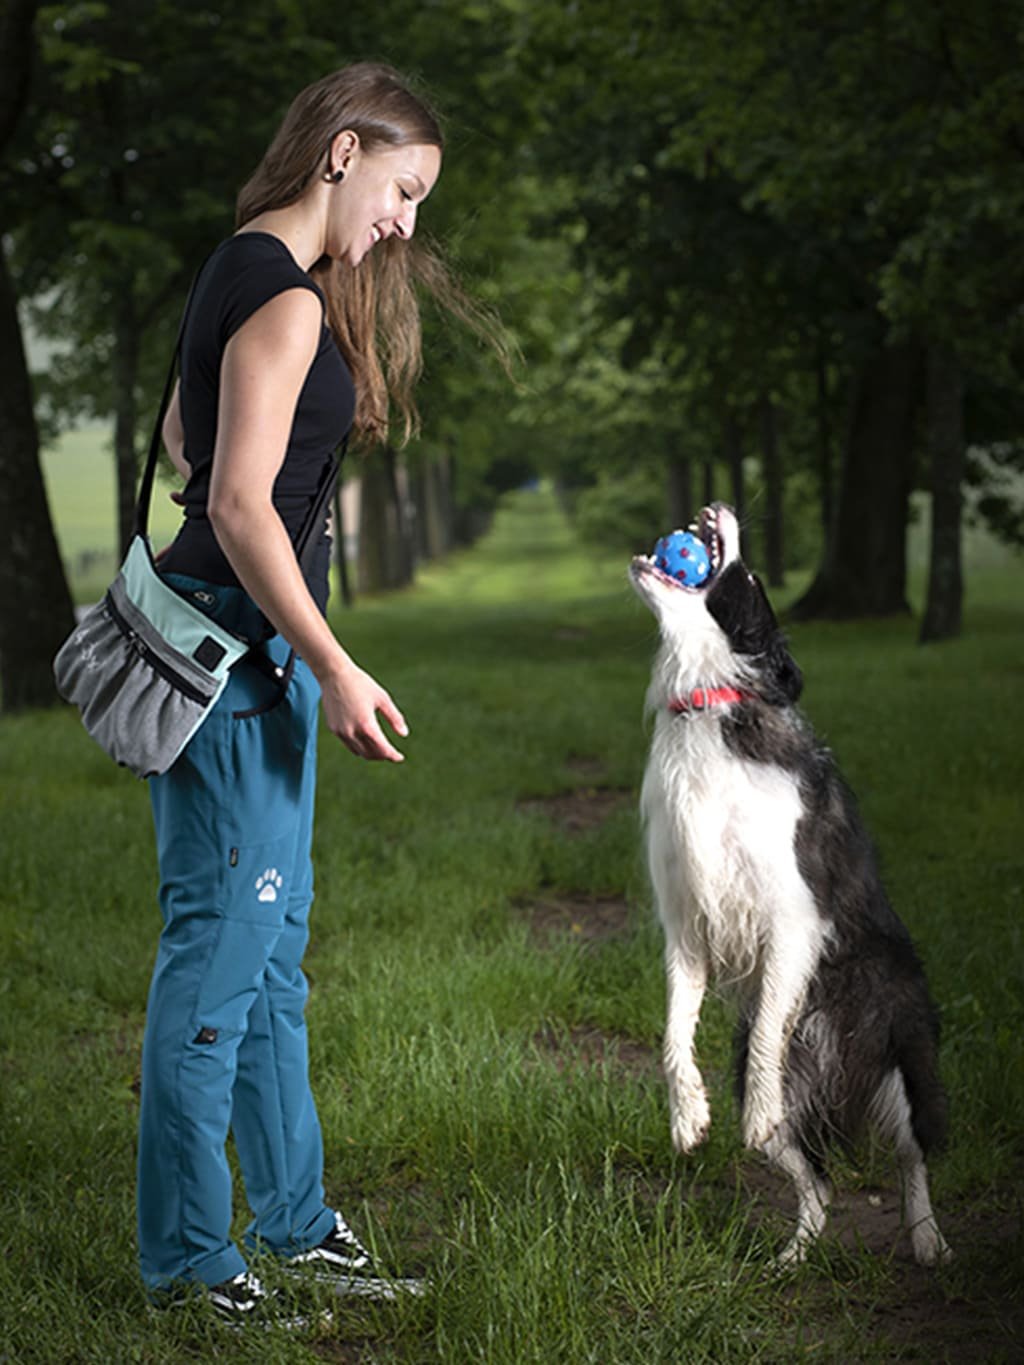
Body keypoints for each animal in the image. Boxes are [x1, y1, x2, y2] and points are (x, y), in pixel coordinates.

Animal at [633, 505, 955, 1266]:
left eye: (746, 580)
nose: (723, 508)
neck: (707, 701)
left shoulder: (792, 916)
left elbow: (772, 1025)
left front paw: (749, 1109)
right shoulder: (685, 924)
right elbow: (674, 1032)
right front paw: (688, 1115)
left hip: (907, 1062)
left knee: (912, 1158)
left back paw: (928, 1241)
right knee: (818, 1181)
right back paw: (794, 1255)